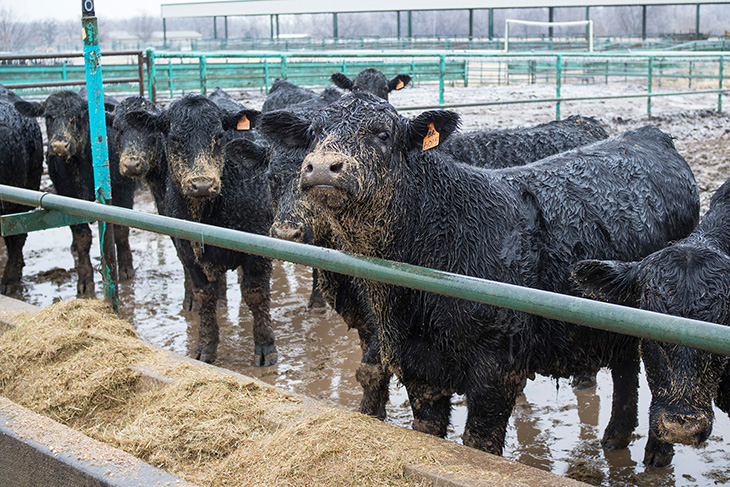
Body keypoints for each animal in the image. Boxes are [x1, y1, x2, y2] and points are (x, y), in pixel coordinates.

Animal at [15, 91, 138, 298]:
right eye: (49, 116)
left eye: (78, 116)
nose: (59, 146)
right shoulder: (69, 201)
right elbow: (82, 239)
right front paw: (85, 281)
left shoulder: (123, 195)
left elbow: (121, 231)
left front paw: (126, 268)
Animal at [123, 94, 274, 366]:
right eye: (174, 139)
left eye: (220, 136)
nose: (202, 184)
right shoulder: (187, 249)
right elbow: (205, 295)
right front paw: (205, 346)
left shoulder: (259, 247)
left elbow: (255, 293)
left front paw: (266, 347)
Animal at [280, 92, 700, 458]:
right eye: (314, 133)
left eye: (383, 134)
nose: (323, 166)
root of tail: (647, 133)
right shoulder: (419, 368)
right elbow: (427, 428)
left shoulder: (497, 370)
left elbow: (479, 441)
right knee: (626, 367)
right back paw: (615, 437)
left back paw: (656, 451)